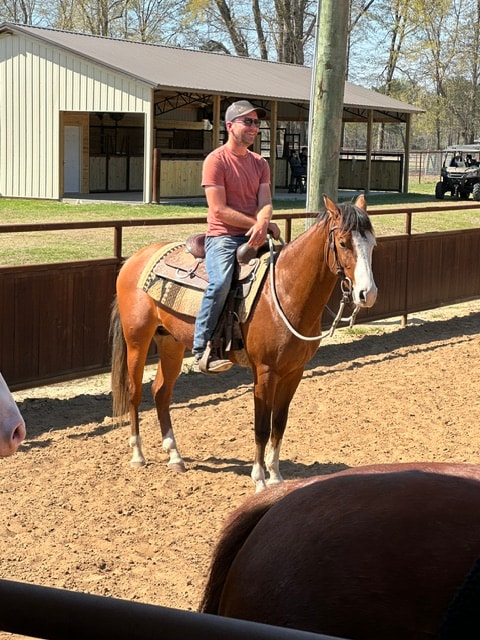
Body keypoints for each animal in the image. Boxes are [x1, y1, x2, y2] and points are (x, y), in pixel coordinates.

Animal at [110, 194, 377, 491]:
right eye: (343, 243)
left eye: (372, 244)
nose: (367, 294)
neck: (284, 292)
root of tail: (135, 259)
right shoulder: (265, 372)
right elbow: (261, 426)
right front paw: (259, 479)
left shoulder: (294, 372)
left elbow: (279, 423)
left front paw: (276, 477)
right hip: (138, 340)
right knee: (135, 392)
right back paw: (138, 454)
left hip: (171, 343)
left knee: (161, 393)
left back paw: (175, 456)